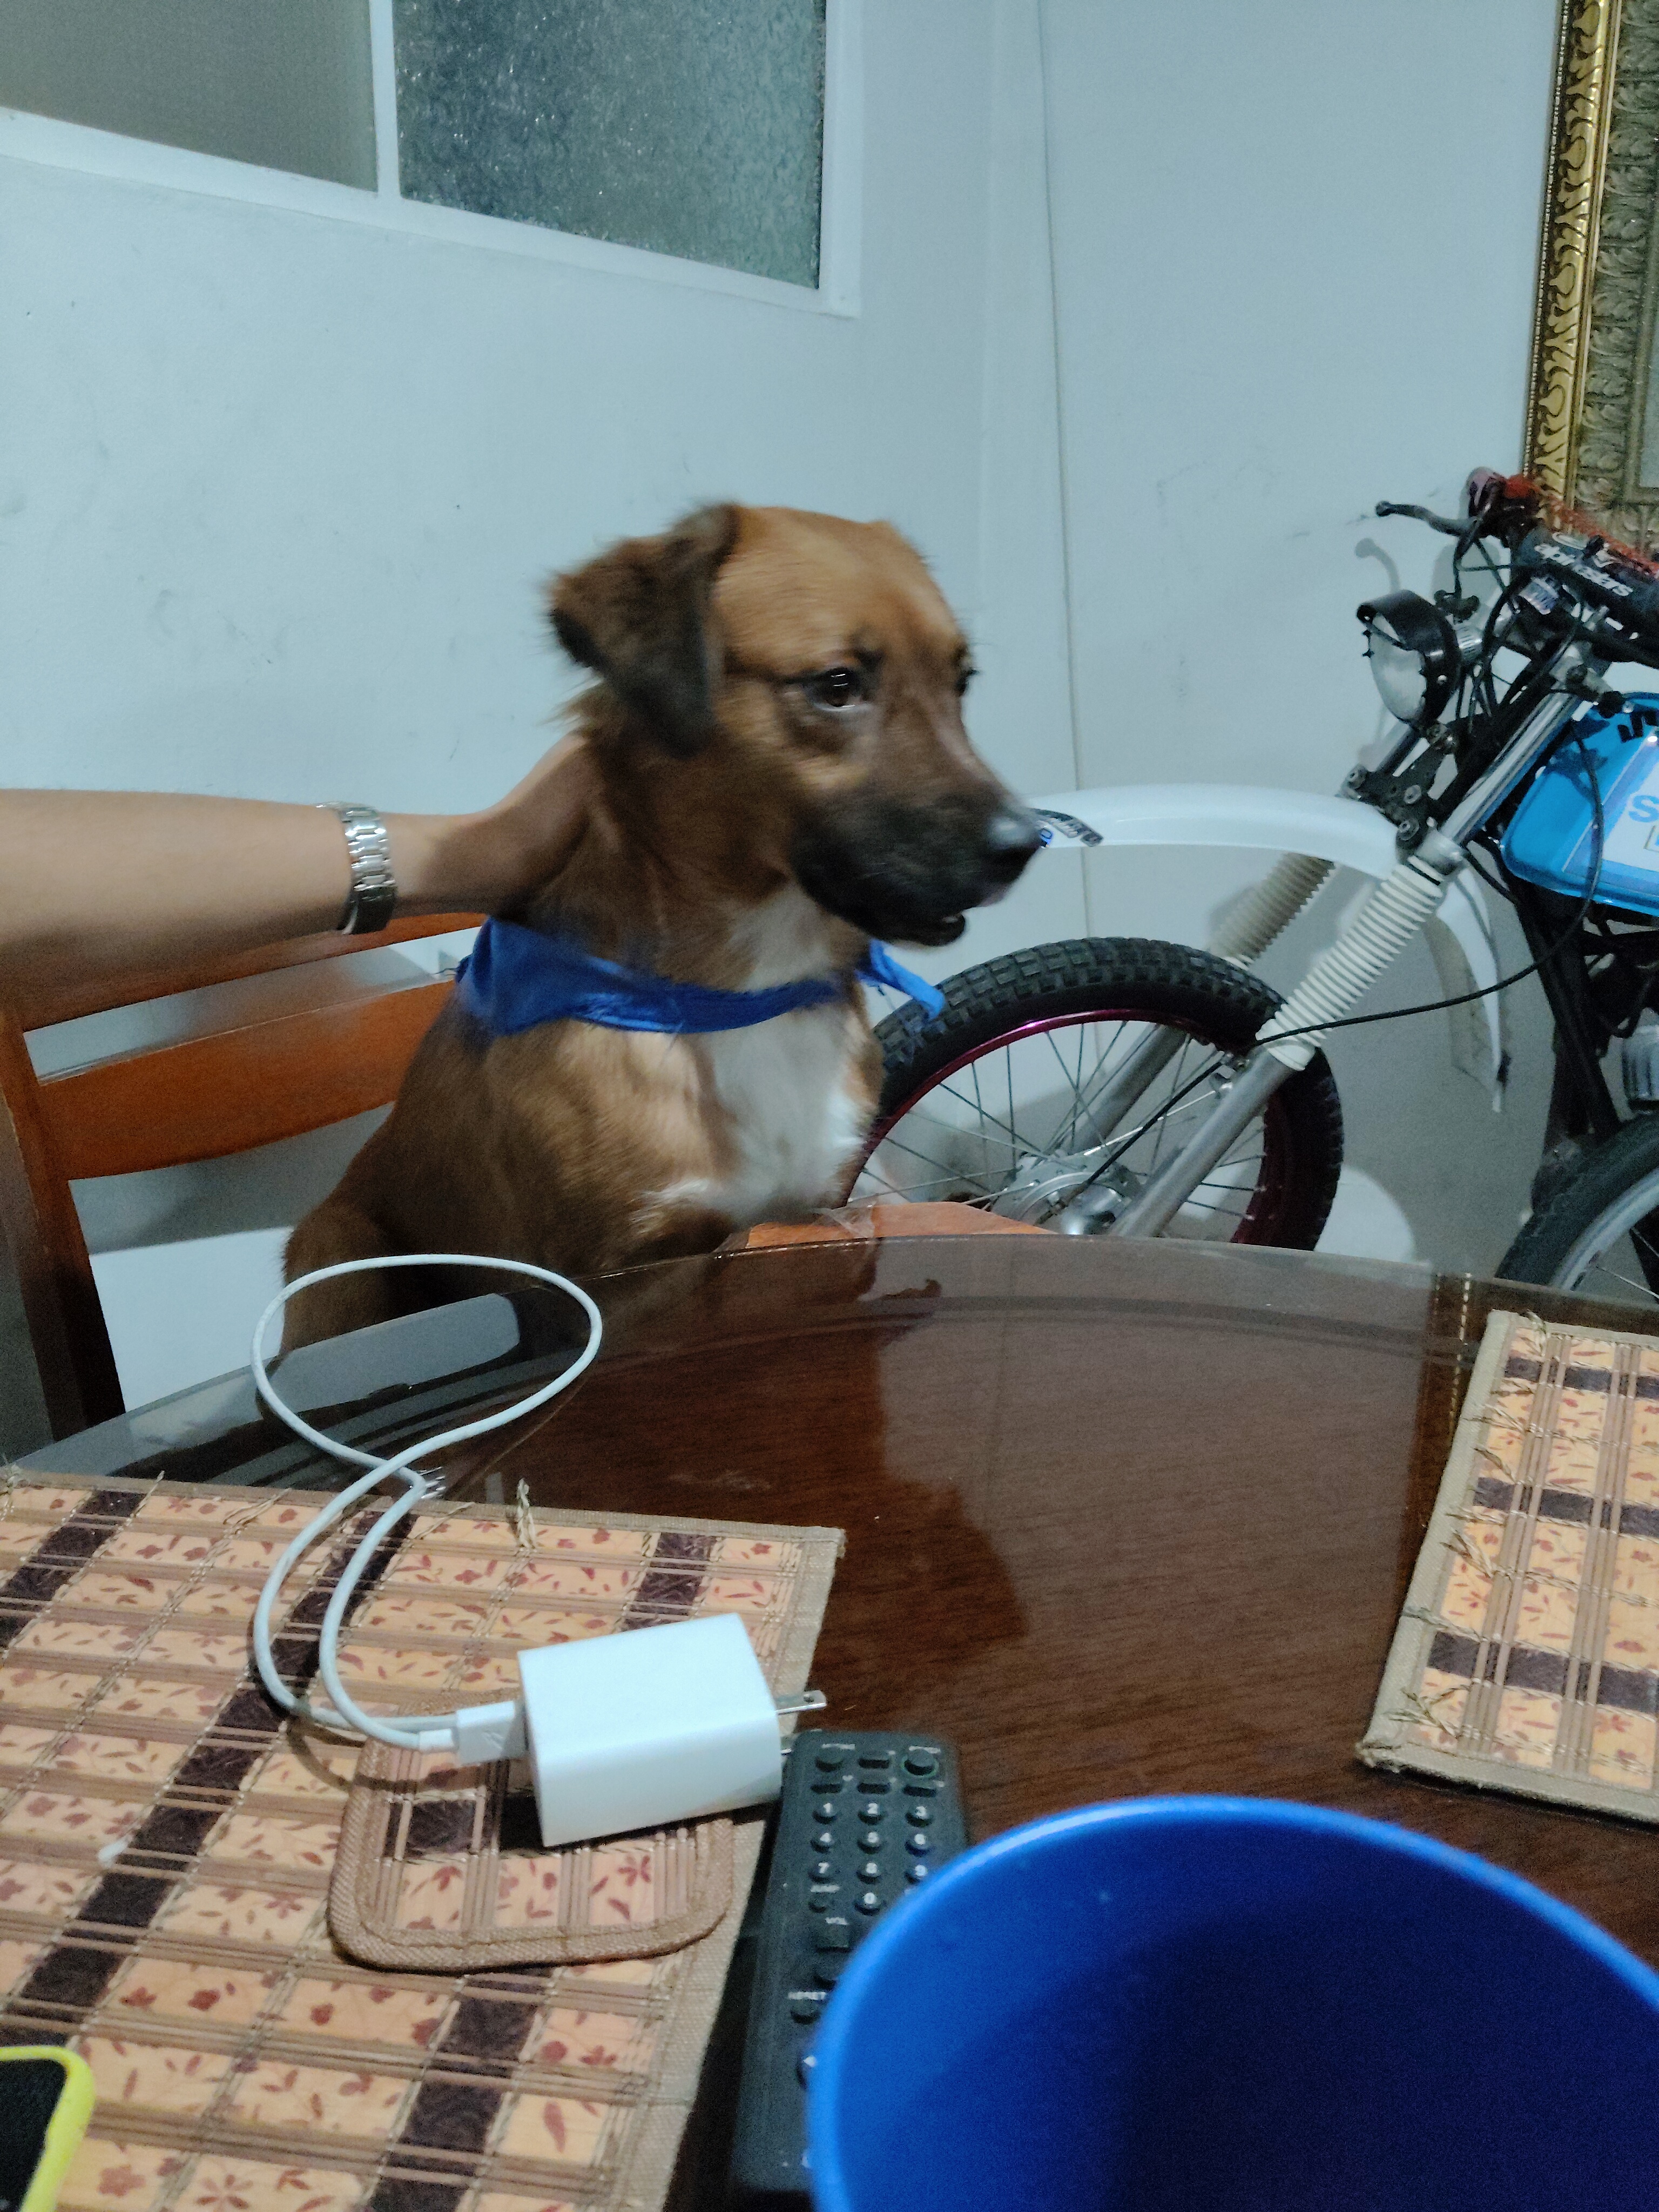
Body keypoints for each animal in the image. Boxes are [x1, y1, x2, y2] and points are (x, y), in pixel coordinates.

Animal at [282, 503, 1039, 1346]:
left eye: (961, 683)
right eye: (838, 685)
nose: (1027, 843)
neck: (747, 991)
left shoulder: (827, 1193)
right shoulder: (602, 1286)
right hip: (333, 1251)